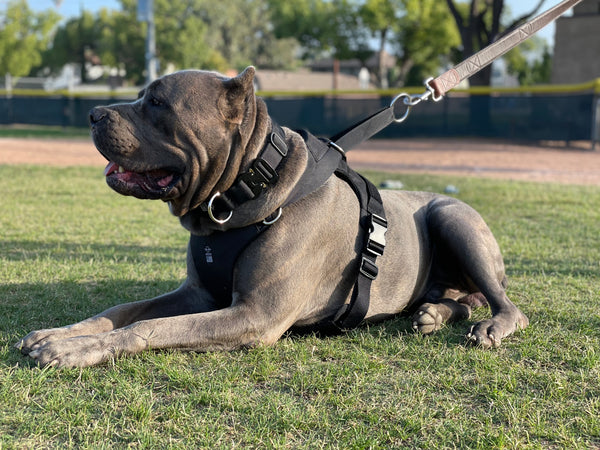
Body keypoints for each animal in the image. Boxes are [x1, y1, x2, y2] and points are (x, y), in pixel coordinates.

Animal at [16, 67, 528, 370]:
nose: (93, 113)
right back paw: (433, 313)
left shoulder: (254, 315)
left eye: (158, 103)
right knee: (463, 300)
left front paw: (73, 349)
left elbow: (149, 327)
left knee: (506, 304)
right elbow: (118, 312)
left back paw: (489, 326)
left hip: (452, 217)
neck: (238, 193)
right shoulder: (197, 293)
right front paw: (62, 334)